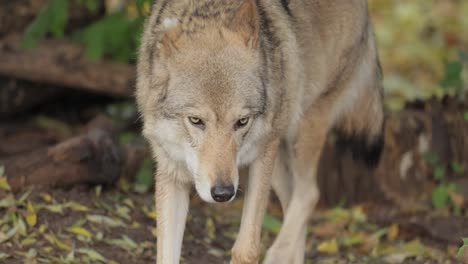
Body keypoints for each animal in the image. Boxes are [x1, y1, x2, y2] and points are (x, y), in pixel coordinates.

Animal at [135, 1, 384, 262]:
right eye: (196, 120)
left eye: (242, 121)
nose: (223, 193)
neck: (211, 14)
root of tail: (367, 11)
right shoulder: (171, 172)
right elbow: (166, 254)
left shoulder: (262, 155)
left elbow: (247, 249)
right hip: (279, 159)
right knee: (293, 200)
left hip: (301, 128)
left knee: (309, 194)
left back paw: (278, 254)